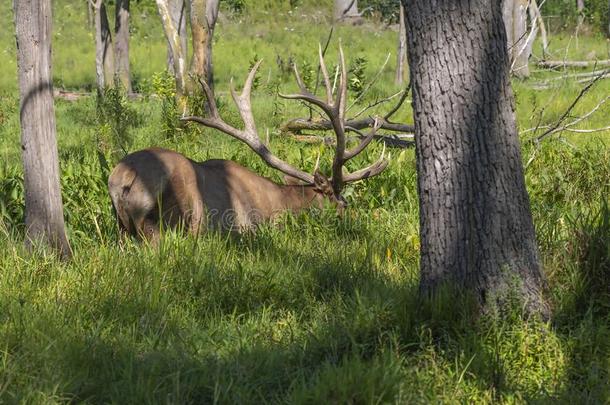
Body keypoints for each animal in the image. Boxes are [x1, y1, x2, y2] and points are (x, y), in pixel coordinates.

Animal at [108, 46, 384, 240]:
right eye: (342, 203)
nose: (357, 222)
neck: (285, 202)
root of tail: (123, 179)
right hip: (164, 219)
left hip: (121, 228)